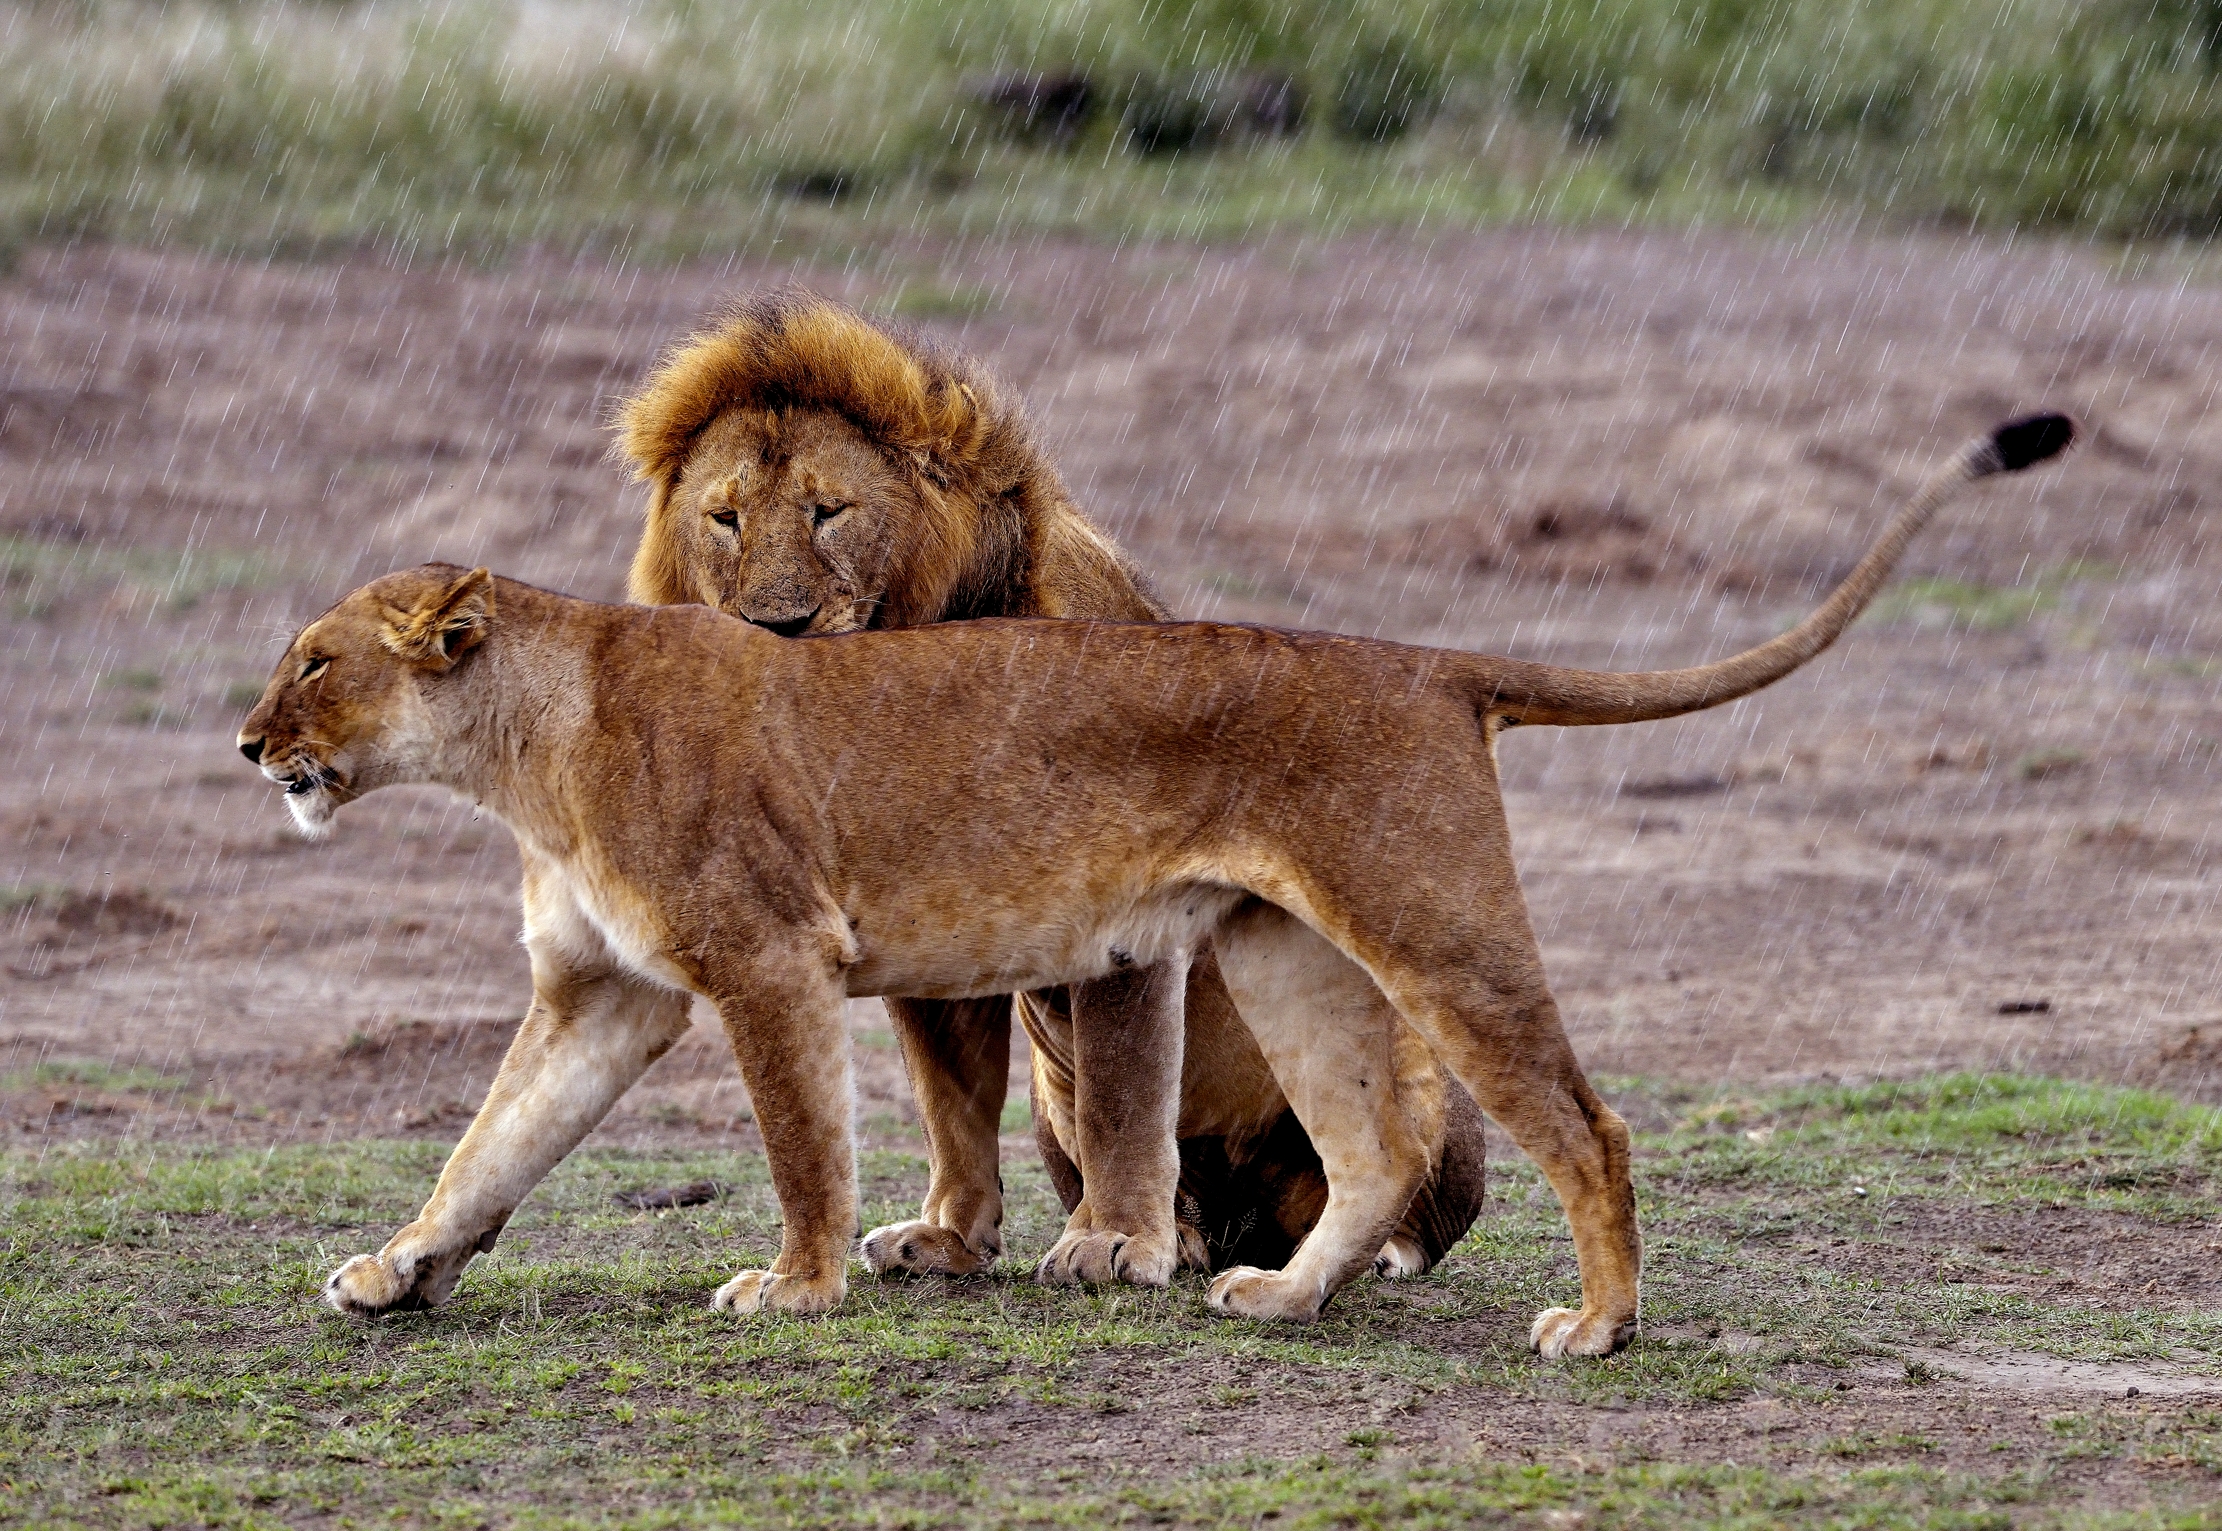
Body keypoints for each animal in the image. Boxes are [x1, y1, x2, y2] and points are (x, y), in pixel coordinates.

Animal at [246, 410, 2072, 1352]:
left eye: (316, 659)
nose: (249, 740)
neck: (524, 756)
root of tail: (1426, 660)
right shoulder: (602, 992)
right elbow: (491, 1143)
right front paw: (395, 1269)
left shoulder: (764, 956)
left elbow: (800, 1147)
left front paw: (799, 1284)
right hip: (1284, 949)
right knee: (1375, 1144)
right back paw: (1283, 1293)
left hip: (1433, 918)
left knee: (1581, 1119)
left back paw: (1598, 1324)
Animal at [613, 289, 1489, 1285]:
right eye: (725, 518)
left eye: (828, 511)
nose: (777, 625)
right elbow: (948, 1097)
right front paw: (951, 1234)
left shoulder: (1126, 900)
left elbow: (1122, 1089)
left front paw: (1114, 1240)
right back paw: (1177, 1232)